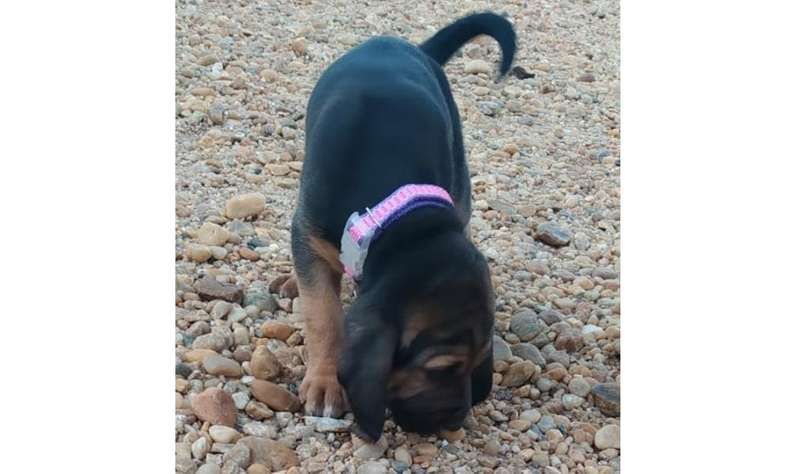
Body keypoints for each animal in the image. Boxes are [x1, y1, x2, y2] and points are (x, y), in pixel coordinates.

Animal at [272, 12, 516, 441]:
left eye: (479, 361)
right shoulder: (308, 228)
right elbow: (322, 315)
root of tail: (405, 45)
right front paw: (324, 381)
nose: (455, 422)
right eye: (439, 370)